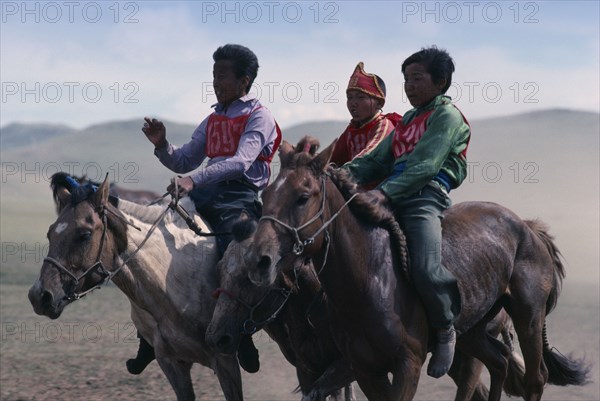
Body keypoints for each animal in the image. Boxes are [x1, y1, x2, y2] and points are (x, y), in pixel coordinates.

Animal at [245, 141, 592, 400]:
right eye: (266, 196)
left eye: (303, 197)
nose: (258, 260)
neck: (370, 277)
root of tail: (529, 228)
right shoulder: (363, 369)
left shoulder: (406, 365)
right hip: (473, 329)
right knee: (499, 362)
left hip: (527, 315)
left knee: (534, 378)